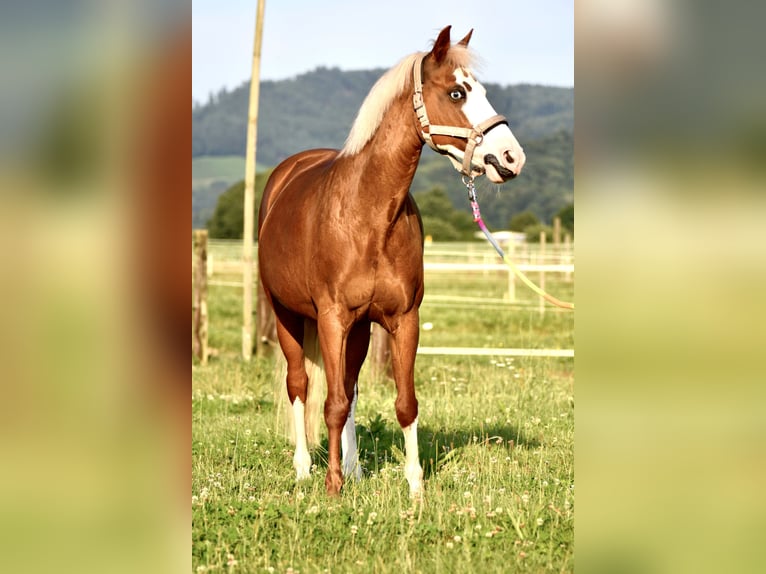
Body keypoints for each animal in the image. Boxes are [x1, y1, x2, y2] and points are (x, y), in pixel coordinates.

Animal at [258, 24, 528, 498]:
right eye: (457, 92)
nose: (512, 158)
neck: (370, 214)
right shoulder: (331, 319)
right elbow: (330, 402)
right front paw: (332, 487)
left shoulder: (403, 319)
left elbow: (403, 403)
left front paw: (415, 486)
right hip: (286, 314)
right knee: (300, 385)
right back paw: (305, 468)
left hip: (360, 330)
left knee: (350, 388)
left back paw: (355, 468)